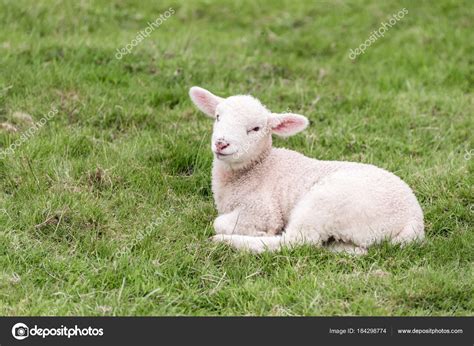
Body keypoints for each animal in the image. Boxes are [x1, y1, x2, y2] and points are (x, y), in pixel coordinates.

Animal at [187, 86, 424, 254]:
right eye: (218, 117)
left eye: (255, 129)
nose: (221, 143)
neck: (259, 168)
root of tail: (414, 221)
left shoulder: (262, 210)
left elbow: (219, 222)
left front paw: (254, 231)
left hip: (325, 204)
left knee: (295, 242)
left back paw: (228, 242)